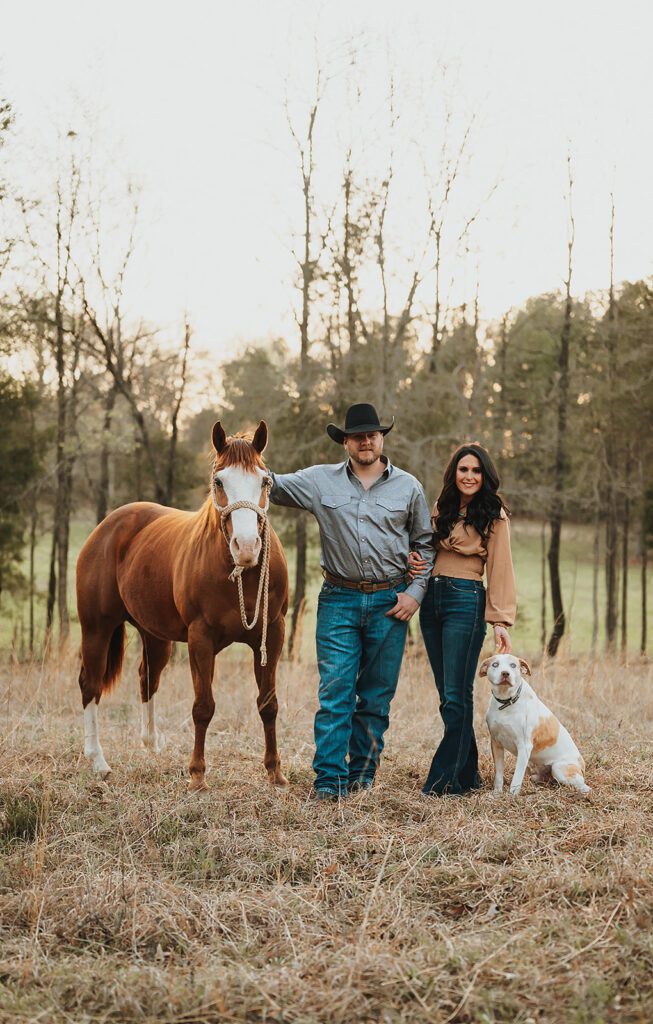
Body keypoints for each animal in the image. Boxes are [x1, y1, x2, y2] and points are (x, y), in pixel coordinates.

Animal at [75, 419, 288, 786]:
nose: (246, 547)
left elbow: (268, 703)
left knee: (147, 677)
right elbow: (203, 707)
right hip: (97, 629)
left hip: (154, 636)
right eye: (219, 481)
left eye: (264, 480)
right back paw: (98, 761)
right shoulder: (200, 638)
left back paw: (151, 742)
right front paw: (198, 775)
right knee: (91, 684)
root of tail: (108, 526)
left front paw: (275, 772)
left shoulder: (271, 634)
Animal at [481, 655, 593, 798]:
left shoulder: (524, 747)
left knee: (584, 786)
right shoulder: (496, 743)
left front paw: (512, 797)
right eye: (495, 664)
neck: (507, 702)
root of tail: (582, 765)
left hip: (559, 768)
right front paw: (497, 794)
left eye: (513, 665)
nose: (505, 673)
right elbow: (498, 774)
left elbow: (516, 778)